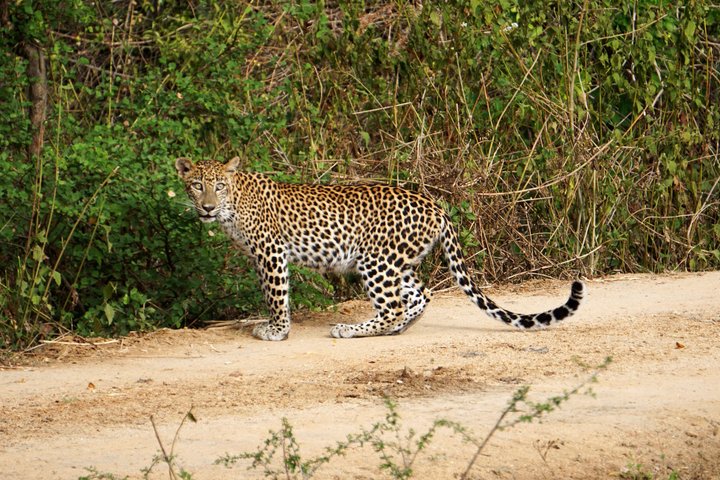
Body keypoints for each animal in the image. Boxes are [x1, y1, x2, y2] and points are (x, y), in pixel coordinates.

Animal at [175, 156, 584, 341]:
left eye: (218, 186)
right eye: (196, 185)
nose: (207, 207)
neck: (233, 204)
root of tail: (435, 206)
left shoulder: (271, 252)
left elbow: (276, 295)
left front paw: (276, 330)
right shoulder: (260, 256)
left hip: (376, 260)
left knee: (394, 305)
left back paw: (351, 329)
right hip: (398, 262)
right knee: (420, 296)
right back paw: (395, 329)